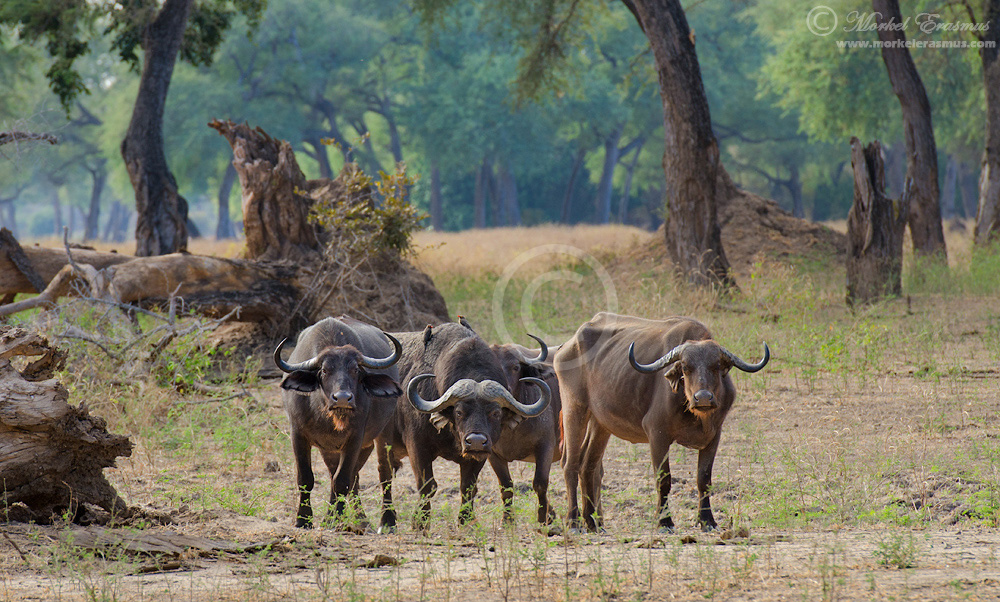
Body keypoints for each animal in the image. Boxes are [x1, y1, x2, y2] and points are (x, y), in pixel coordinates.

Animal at [274, 316, 403, 529]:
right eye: (325, 370)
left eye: (356, 370)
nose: (342, 398)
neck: (325, 415)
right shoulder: (297, 434)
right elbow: (305, 478)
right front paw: (304, 520)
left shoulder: (355, 438)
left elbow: (342, 481)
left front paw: (336, 519)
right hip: (337, 450)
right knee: (347, 476)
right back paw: (352, 519)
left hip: (381, 435)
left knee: (383, 473)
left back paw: (386, 522)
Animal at [376, 321, 551, 532]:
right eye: (459, 412)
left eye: (495, 413)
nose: (475, 441)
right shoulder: (417, 445)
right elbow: (427, 486)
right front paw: (420, 522)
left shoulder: (481, 455)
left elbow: (468, 487)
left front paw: (466, 520)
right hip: (382, 441)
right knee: (385, 476)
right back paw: (386, 522)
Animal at [555, 312, 769, 532]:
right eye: (685, 367)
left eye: (716, 366)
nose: (703, 398)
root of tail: (567, 346)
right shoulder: (657, 434)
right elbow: (664, 478)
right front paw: (664, 521)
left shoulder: (714, 436)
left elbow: (704, 478)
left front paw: (707, 520)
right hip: (574, 408)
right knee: (570, 464)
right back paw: (573, 521)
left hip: (600, 423)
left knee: (587, 465)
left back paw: (592, 523)